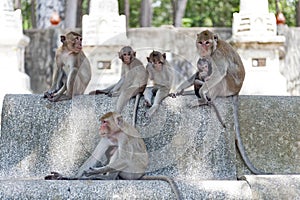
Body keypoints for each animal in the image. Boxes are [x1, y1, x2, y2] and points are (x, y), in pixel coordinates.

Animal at [44, 111, 180, 199]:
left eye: (104, 122)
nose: (100, 128)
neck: (116, 132)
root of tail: (141, 174)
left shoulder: (124, 137)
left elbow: (124, 159)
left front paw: (95, 172)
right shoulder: (106, 137)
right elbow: (94, 156)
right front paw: (71, 177)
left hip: (132, 173)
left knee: (118, 152)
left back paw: (106, 177)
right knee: (113, 149)